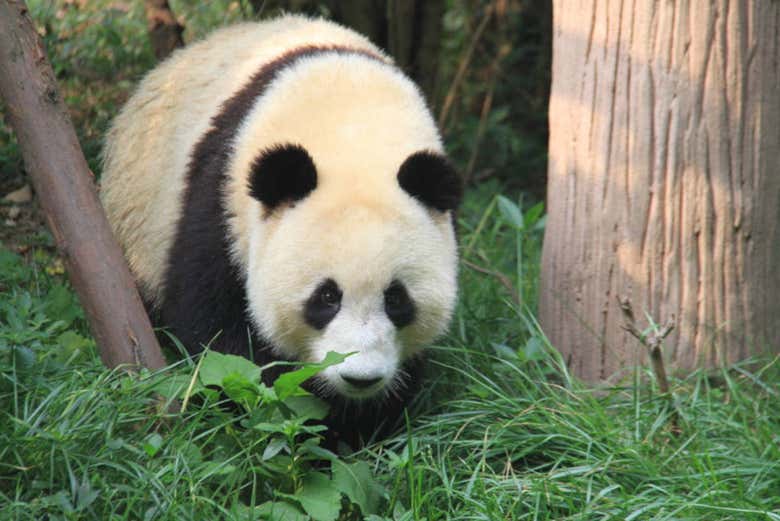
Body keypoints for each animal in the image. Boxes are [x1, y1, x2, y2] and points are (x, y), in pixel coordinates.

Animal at [100, 15, 460, 444]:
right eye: (326, 297)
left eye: (396, 299)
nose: (360, 379)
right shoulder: (221, 203)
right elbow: (220, 335)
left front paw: (363, 422)